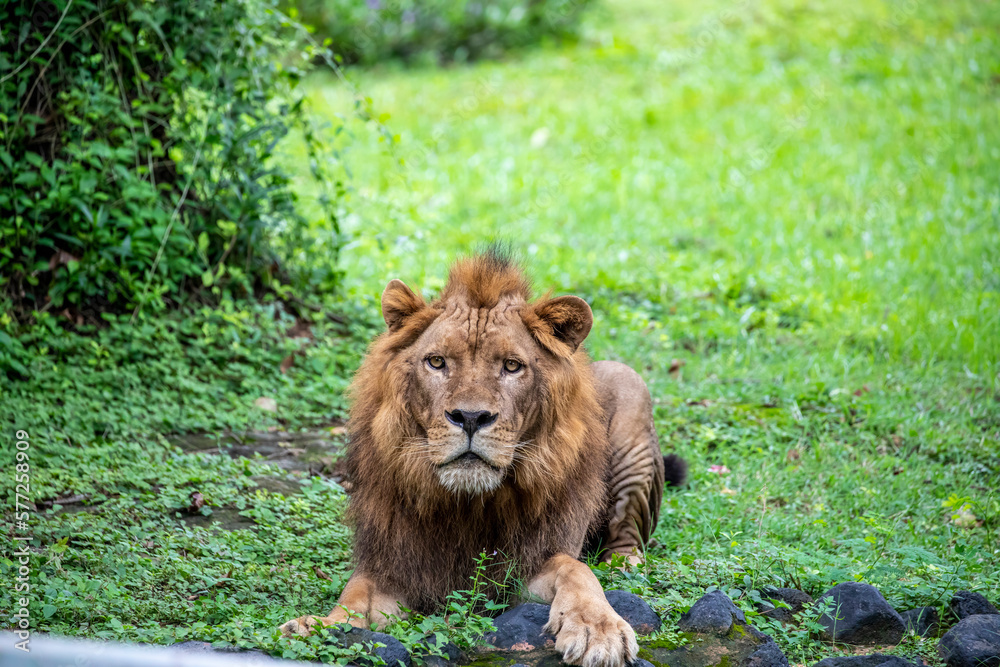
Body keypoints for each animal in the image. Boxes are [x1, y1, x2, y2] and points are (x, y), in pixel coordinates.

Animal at [281, 248, 686, 667]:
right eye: (437, 362)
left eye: (511, 366)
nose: (471, 417)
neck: (467, 505)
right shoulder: (393, 561)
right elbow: (354, 595)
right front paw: (320, 626)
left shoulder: (526, 565)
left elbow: (574, 570)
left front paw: (597, 628)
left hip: (631, 397)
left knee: (627, 539)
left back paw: (624, 568)